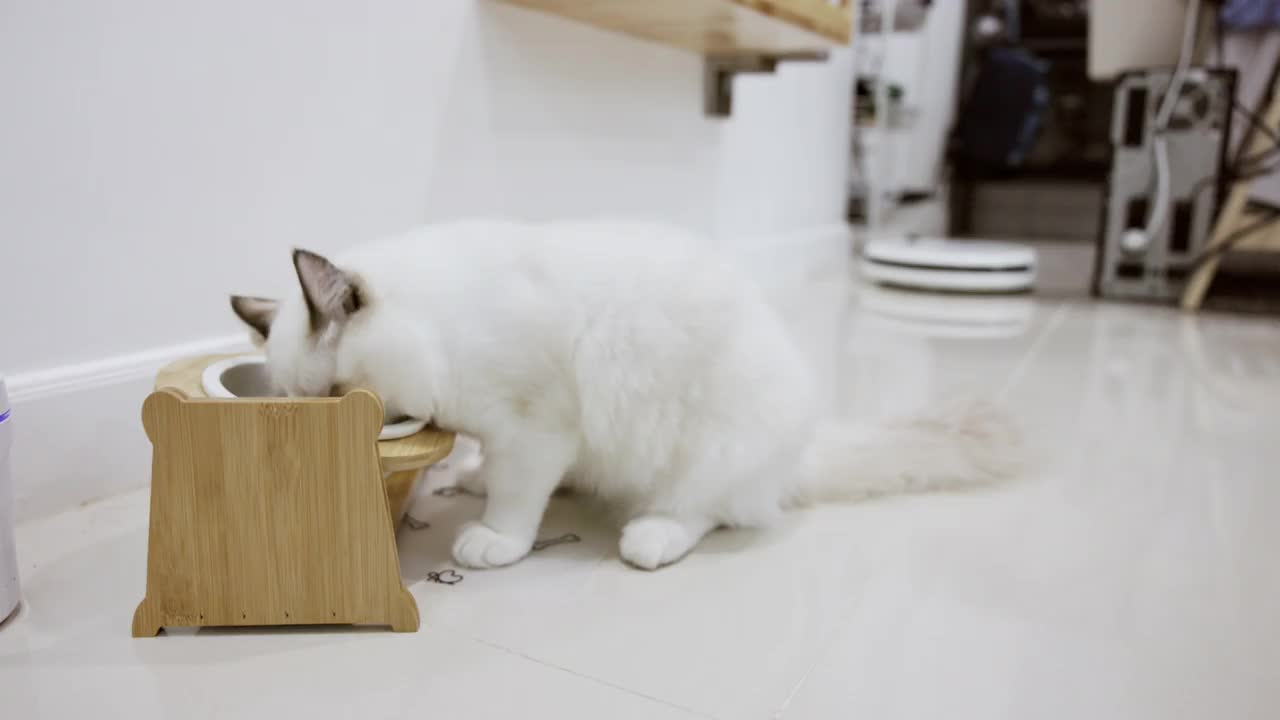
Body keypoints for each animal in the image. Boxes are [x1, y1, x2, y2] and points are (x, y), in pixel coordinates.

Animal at [230, 221, 1018, 568]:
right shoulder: (502, 431)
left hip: (708, 451)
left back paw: (649, 537)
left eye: (338, 394)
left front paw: (492, 540)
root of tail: (800, 451)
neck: (443, 321)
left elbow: (514, 501)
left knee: (703, 514)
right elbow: (488, 468)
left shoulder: (534, 428)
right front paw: (464, 478)